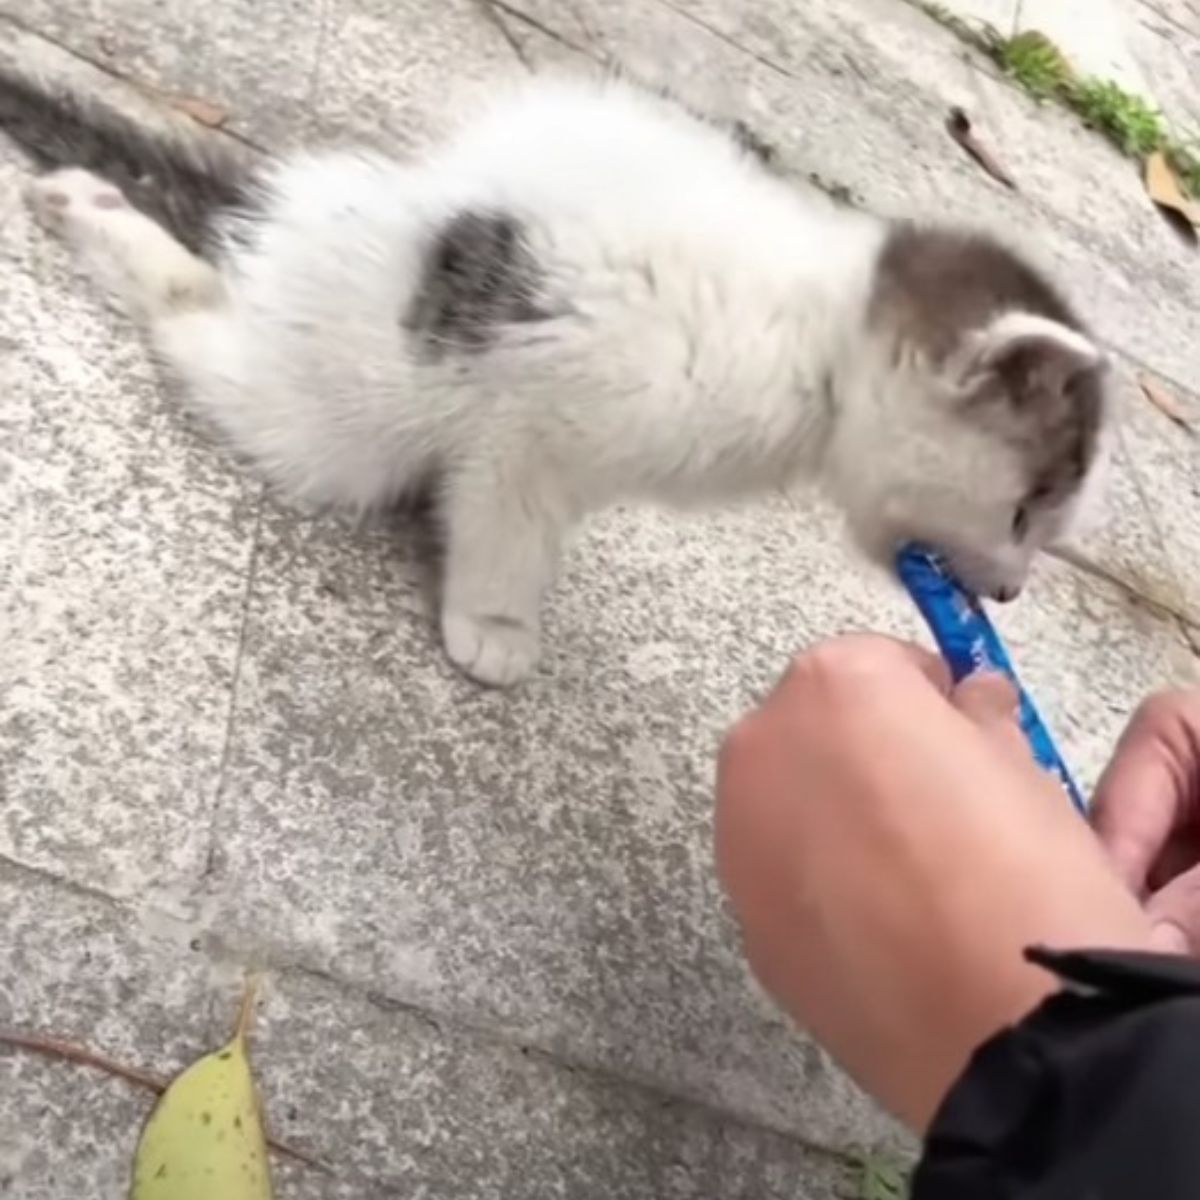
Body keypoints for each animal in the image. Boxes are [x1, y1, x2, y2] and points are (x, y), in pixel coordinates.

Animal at [0, 68, 1108, 686]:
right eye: (1023, 513)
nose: (1009, 593)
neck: (822, 341)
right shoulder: (537, 413)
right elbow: (508, 511)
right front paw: (493, 621)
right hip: (346, 392)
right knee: (212, 334)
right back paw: (97, 213)